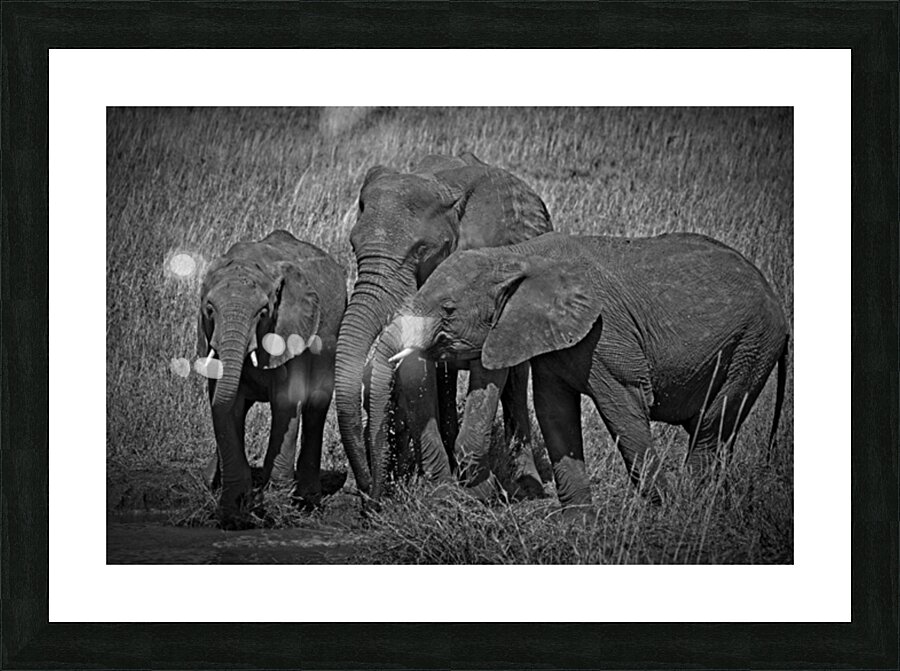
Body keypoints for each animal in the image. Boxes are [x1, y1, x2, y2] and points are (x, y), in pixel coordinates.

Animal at [196, 230, 347, 527]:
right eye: (209, 309)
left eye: (263, 312)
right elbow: (227, 406)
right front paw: (232, 512)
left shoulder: (293, 331)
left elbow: (286, 403)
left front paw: (276, 510)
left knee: (315, 410)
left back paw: (307, 501)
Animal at [335, 152, 553, 501]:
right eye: (354, 247)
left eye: (420, 250)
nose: (370, 491)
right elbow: (417, 372)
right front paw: (442, 491)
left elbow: (488, 371)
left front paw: (480, 492)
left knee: (517, 380)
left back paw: (526, 486)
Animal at [382, 231, 789, 510]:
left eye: (448, 309)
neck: (517, 256)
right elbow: (553, 411)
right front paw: (577, 521)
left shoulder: (606, 335)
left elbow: (623, 408)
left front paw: (661, 509)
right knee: (716, 431)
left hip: (753, 344)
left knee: (711, 425)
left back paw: (691, 504)